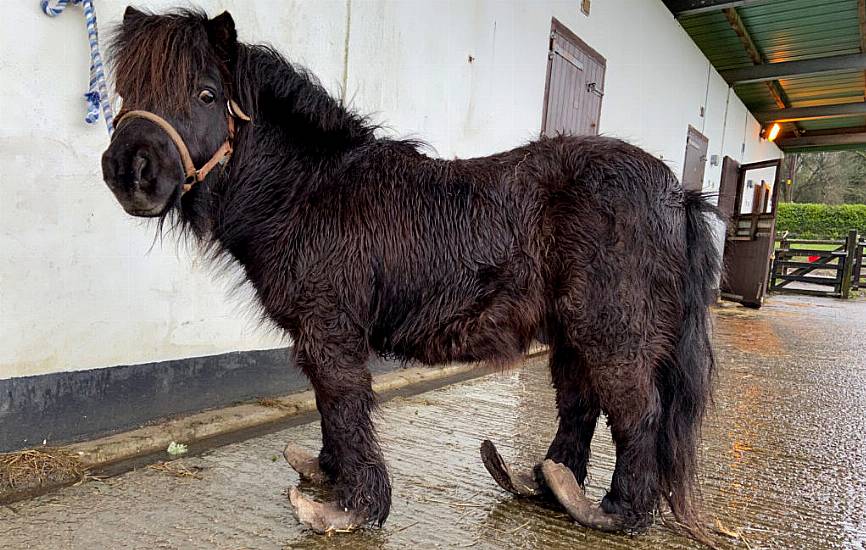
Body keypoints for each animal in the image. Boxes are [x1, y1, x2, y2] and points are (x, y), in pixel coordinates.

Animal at [99, 7, 724, 544]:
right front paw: (330, 475)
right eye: (125, 91)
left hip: (611, 330)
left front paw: (351, 508)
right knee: (580, 402)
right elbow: (328, 407)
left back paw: (617, 514)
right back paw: (548, 482)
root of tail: (679, 195)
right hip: (572, 332)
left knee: (636, 411)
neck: (308, 190)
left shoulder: (331, 331)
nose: (129, 172)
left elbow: (344, 405)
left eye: (206, 94)